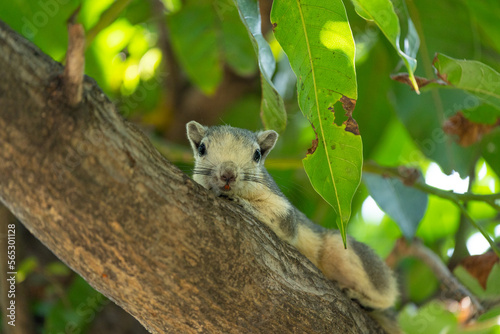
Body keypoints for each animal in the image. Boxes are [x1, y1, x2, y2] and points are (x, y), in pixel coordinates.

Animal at [186, 120, 400, 332]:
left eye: (257, 155)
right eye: (202, 148)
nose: (228, 173)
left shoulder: (283, 209)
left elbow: (285, 222)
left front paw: (238, 200)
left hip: (342, 250)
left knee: (387, 296)